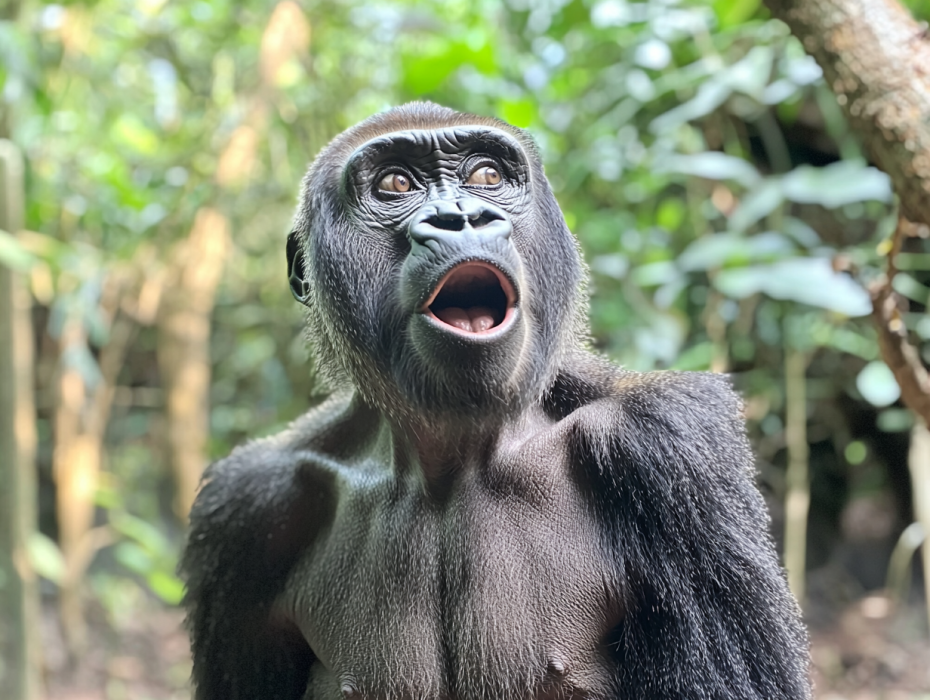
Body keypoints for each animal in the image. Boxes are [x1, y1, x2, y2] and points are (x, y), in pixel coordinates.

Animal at [180, 102, 812, 700]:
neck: (445, 460)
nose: (462, 218)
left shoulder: (671, 444)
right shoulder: (248, 508)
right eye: (395, 185)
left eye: (486, 175)